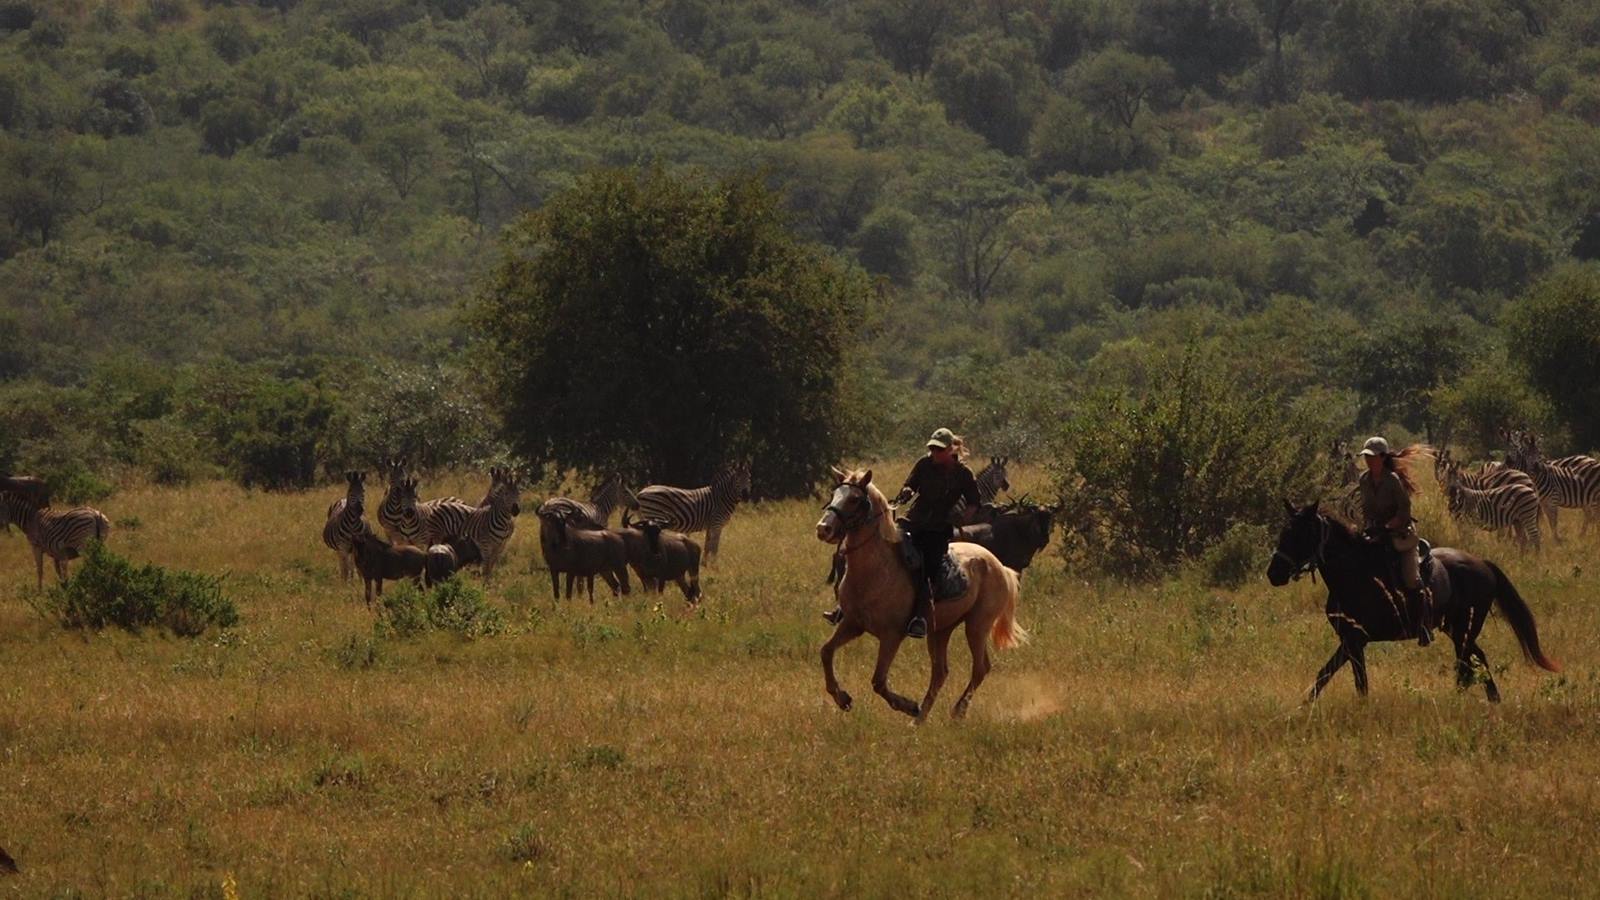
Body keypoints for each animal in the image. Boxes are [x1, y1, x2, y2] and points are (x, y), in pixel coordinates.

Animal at [814, 468, 1027, 722]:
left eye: (854, 499)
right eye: (834, 494)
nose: (823, 528)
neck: (875, 569)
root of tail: (1000, 566)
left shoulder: (891, 636)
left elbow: (878, 681)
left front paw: (907, 705)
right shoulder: (851, 624)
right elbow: (826, 652)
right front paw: (842, 698)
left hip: (977, 625)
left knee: (980, 668)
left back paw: (955, 711)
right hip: (940, 631)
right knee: (940, 673)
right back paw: (919, 720)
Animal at [1266, 501, 1560, 703]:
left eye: (1299, 535)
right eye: (1283, 533)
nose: (1274, 573)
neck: (1353, 574)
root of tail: (1483, 564)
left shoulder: (1356, 640)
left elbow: (1359, 682)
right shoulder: (1348, 639)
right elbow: (1324, 675)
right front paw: (1305, 706)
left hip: (1464, 629)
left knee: (1466, 665)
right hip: (1456, 629)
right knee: (1477, 660)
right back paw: (1492, 699)